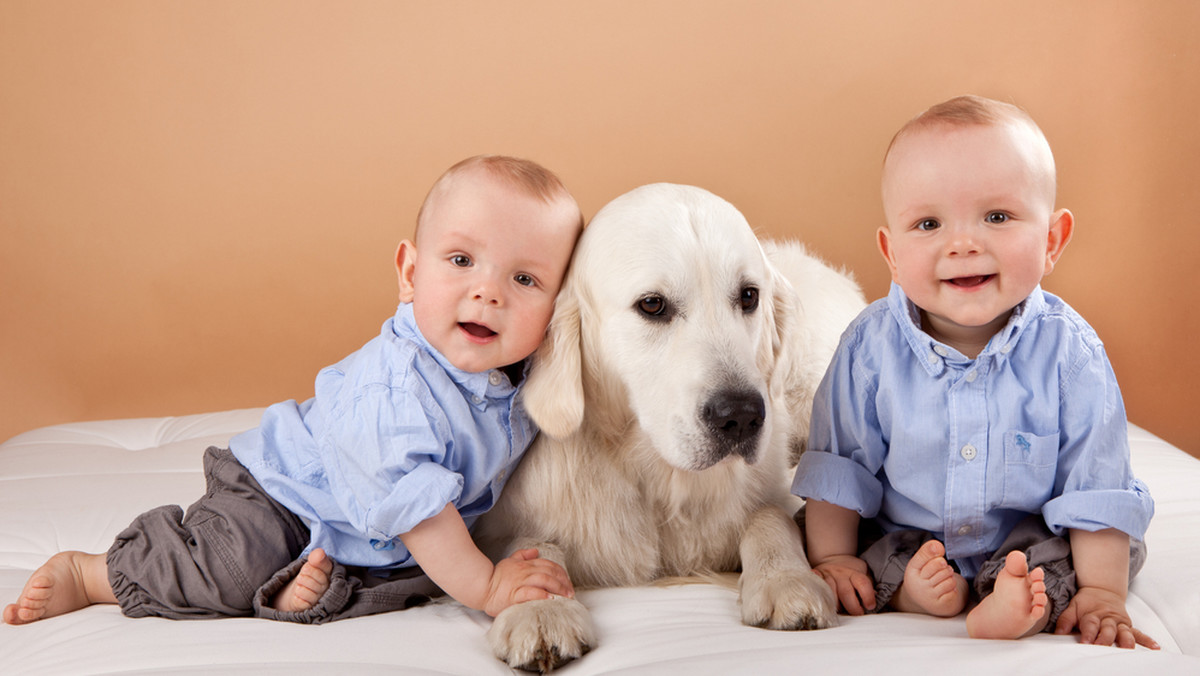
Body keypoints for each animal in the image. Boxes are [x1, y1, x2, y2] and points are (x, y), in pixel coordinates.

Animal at [475, 183, 864, 672]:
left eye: (748, 296)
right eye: (652, 305)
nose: (741, 416)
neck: (658, 477)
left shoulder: (776, 489)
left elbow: (771, 516)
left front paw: (786, 580)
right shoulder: (501, 525)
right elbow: (530, 547)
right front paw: (540, 608)